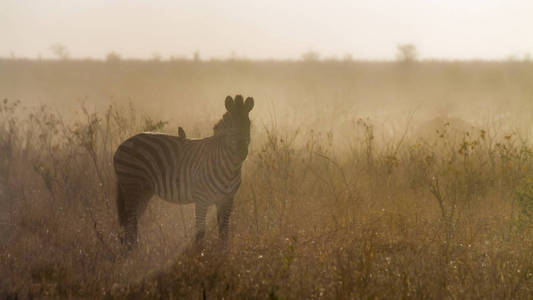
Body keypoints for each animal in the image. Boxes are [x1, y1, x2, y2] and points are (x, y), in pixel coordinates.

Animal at [114, 94, 254, 248]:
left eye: (248, 124)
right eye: (230, 126)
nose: (242, 152)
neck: (229, 168)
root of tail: (122, 144)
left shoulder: (227, 199)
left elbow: (224, 231)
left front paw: (223, 252)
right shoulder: (201, 199)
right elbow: (200, 233)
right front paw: (198, 253)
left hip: (145, 191)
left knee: (132, 223)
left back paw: (132, 251)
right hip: (131, 184)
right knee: (130, 221)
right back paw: (131, 251)